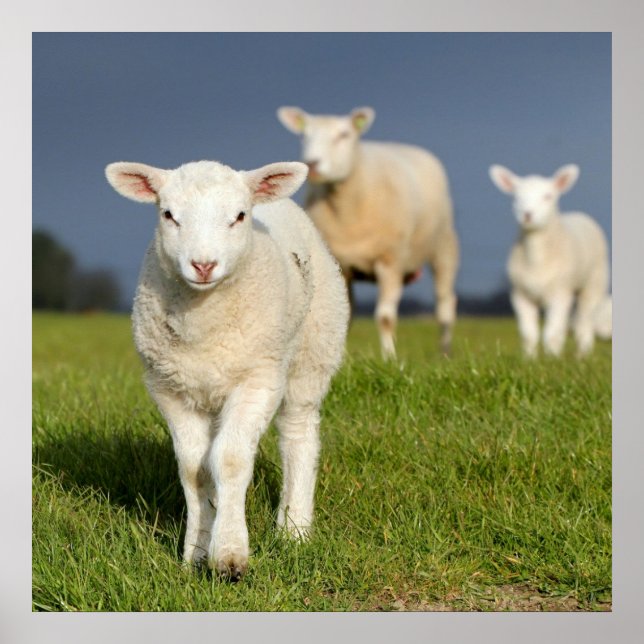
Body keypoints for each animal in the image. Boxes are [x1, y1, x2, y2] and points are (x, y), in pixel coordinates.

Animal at [105, 158, 349, 579]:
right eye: (167, 214)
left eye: (238, 216)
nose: (203, 265)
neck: (204, 323)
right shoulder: (170, 388)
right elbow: (194, 469)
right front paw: (196, 552)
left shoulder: (258, 380)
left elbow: (231, 460)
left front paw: (230, 556)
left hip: (313, 350)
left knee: (298, 434)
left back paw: (294, 528)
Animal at [277, 106, 460, 359]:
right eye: (304, 136)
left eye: (344, 135)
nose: (312, 164)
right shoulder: (341, 267)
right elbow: (345, 315)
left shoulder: (390, 262)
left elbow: (385, 318)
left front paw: (389, 358)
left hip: (443, 248)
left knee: (445, 305)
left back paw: (445, 352)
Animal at [489, 163, 612, 358]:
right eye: (516, 197)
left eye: (548, 196)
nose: (527, 215)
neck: (536, 259)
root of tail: (579, 214)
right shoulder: (519, 295)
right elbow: (529, 333)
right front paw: (529, 358)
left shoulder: (559, 293)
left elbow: (551, 333)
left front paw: (552, 358)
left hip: (594, 283)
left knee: (584, 322)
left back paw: (583, 355)